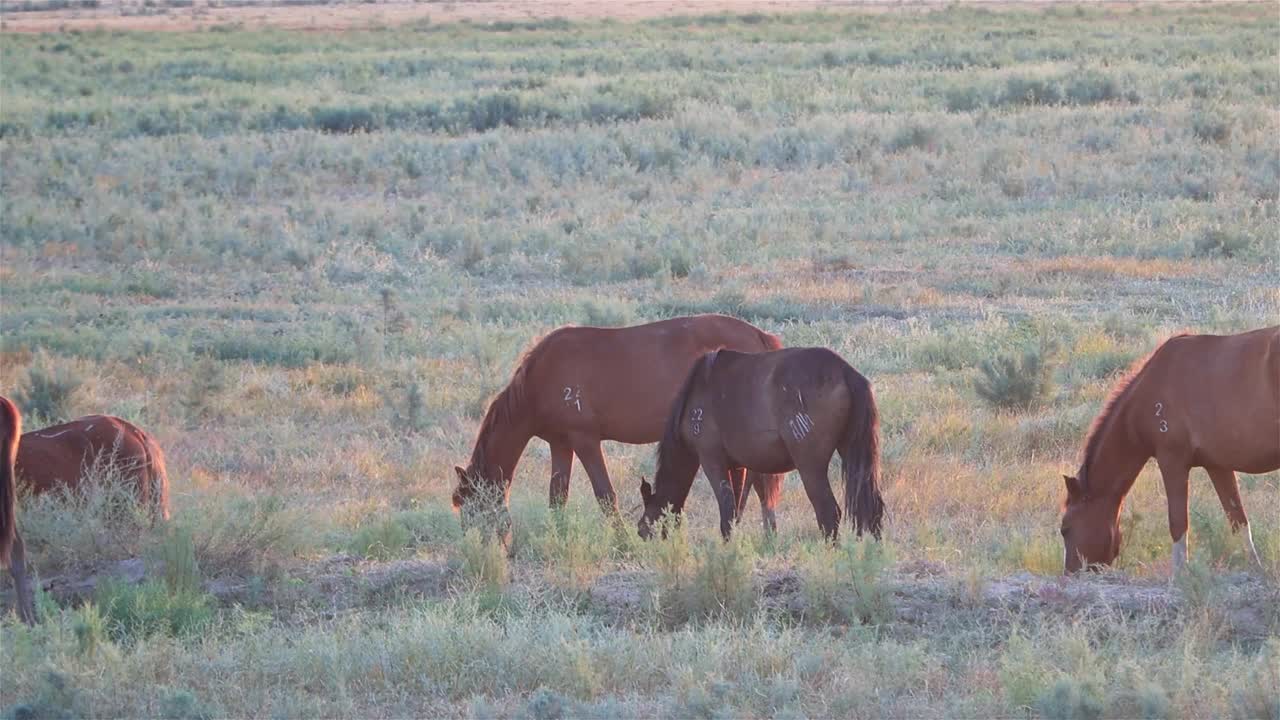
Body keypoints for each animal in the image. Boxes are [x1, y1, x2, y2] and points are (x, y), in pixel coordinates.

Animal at [450, 313, 788, 543]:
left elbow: (605, 495)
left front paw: (622, 540)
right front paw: (559, 536)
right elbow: (557, 497)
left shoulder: (584, 440)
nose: (478, 549)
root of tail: (760, 335)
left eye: (471, 508)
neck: (540, 380)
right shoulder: (560, 443)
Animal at [637, 345, 885, 538]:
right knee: (872, 509)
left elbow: (727, 510)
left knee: (828, 512)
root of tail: (845, 372)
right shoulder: (739, 467)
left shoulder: (711, 459)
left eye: (643, 528)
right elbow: (736, 511)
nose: (643, 537)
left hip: (810, 467)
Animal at [1059, 325, 1280, 571]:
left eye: (1065, 529)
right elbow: (1238, 520)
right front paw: (1255, 569)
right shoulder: (1218, 466)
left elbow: (1178, 524)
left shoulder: (1172, 462)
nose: (1070, 573)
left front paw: (1180, 573)